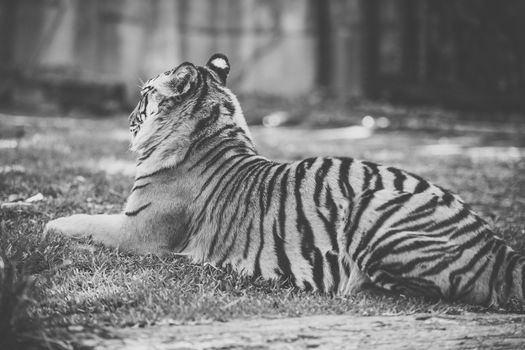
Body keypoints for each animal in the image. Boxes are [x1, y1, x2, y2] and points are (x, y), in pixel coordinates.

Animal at [46, 53, 524, 308]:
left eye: (145, 95)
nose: (128, 117)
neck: (213, 130)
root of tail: (499, 248)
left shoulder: (139, 230)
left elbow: (84, 219)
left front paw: (50, 224)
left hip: (373, 211)